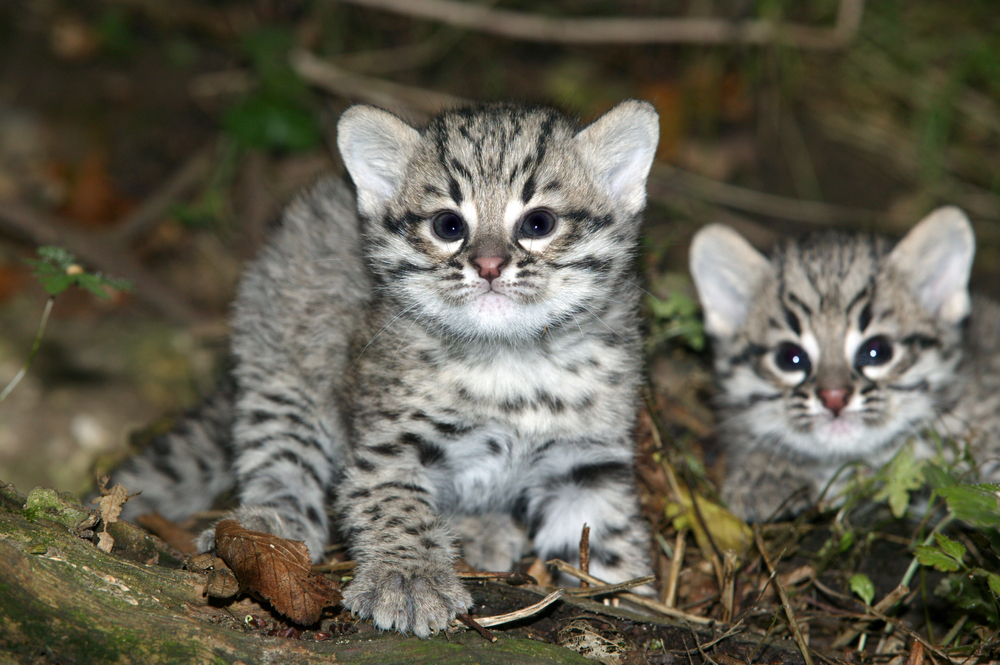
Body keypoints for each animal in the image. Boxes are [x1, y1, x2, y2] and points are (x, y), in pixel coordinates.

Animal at [109, 101, 660, 636]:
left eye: (539, 223)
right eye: (448, 226)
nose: (488, 265)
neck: (512, 357)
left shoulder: (586, 460)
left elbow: (607, 536)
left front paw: (629, 598)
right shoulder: (391, 442)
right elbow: (393, 504)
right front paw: (409, 577)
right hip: (283, 365)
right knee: (280, 454)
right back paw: (267, 527)